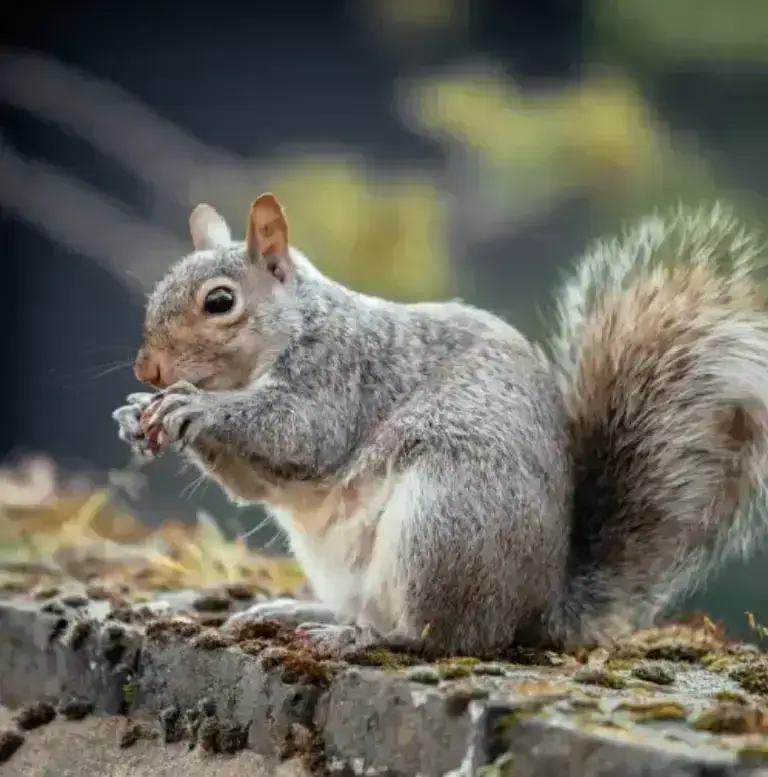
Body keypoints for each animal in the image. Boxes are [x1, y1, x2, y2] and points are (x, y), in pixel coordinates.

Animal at [113, 194, 768, 658]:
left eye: (220, 302)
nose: (148, 370)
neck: (295, 329)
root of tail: (538, 607)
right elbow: (253, 482)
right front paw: (134, 414)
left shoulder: (342, 377)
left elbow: (299, 433)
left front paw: (194, 408)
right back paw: (303, 614)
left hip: (444, 524)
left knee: (447, 638)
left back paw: (363, 639)